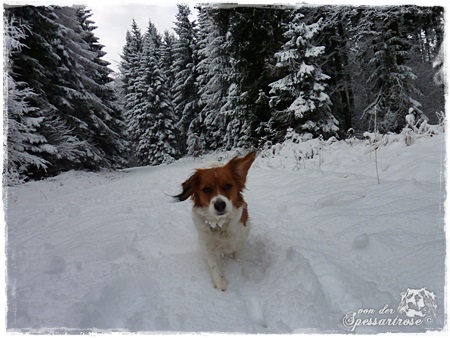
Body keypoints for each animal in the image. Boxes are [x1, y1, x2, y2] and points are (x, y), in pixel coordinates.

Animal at [173, 151, 256, 290]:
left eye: (228, 186)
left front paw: (240, 273)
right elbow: (214, 266)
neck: (220, 224)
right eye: (206, 189)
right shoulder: (208, 246)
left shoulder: (239, 241)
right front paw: (221, 284)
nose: (220, 205)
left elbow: (239, 259)